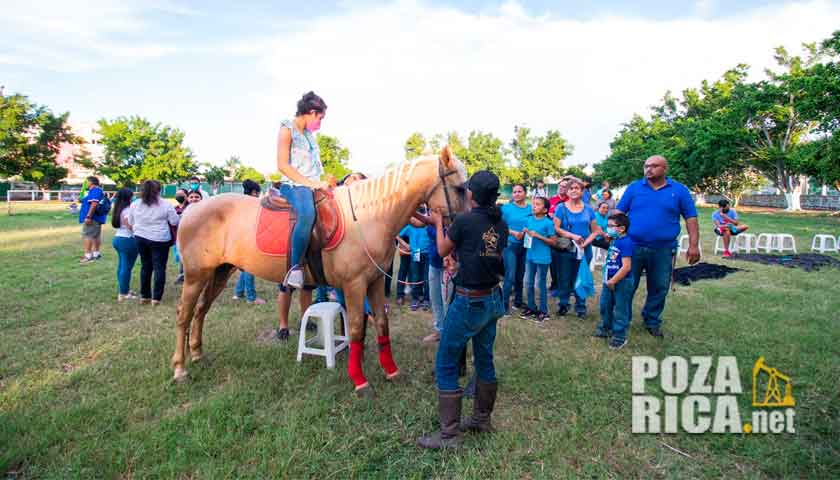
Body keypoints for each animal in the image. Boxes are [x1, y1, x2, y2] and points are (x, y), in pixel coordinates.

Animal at [173, 148, 470, 392]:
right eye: (459, 189)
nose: (465, 231)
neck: (368, 218)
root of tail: (192, 210)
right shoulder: (353, 285)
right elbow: (356, 329)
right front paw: (359, 379)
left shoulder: (374, 282)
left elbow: (381, 325)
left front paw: (391, 370)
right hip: (196, 277)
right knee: (184, 316)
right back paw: (180, 368)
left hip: (220, 272)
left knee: (201, 311)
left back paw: (197, 354)